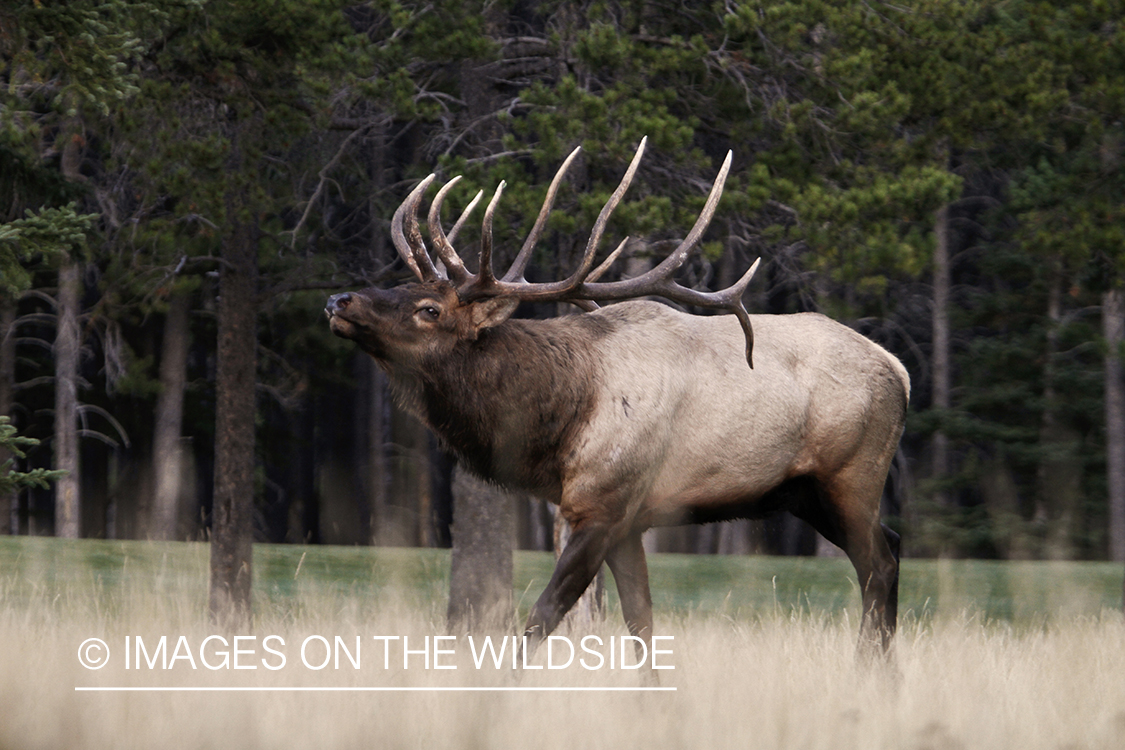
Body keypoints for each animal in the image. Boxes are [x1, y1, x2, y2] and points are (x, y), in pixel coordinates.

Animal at [324, 139, 904, 656]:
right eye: (400, 285)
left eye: (430, 310)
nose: (338, 299)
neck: (559, 423)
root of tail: (900, 371)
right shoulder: (629, 521)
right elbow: (640, 622)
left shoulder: (602, 503)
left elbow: (543, 616)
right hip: (804, 493)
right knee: (893, 548)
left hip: (853, 475)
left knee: (878, 564)